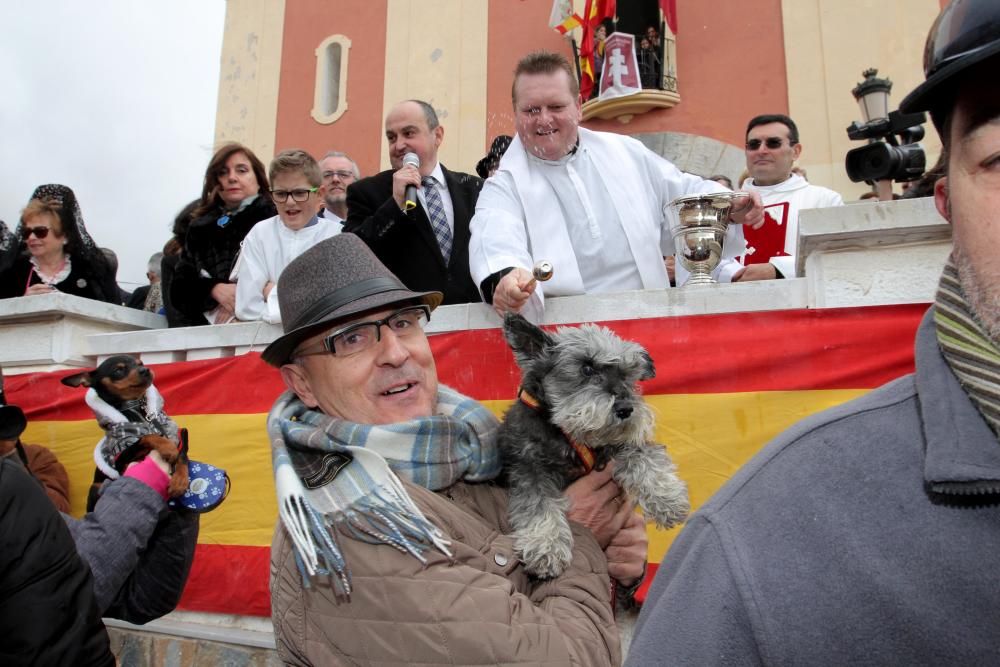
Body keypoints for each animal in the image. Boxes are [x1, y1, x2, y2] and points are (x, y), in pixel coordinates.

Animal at [498, 314, 688, 580]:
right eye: (586, 367)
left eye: (627, 374)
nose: (626, 409)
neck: (567, 433)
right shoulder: (529, 469)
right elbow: (539, 505)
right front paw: (547, 547)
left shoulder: (618, 445)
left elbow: (644, 456)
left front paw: (667, 499)